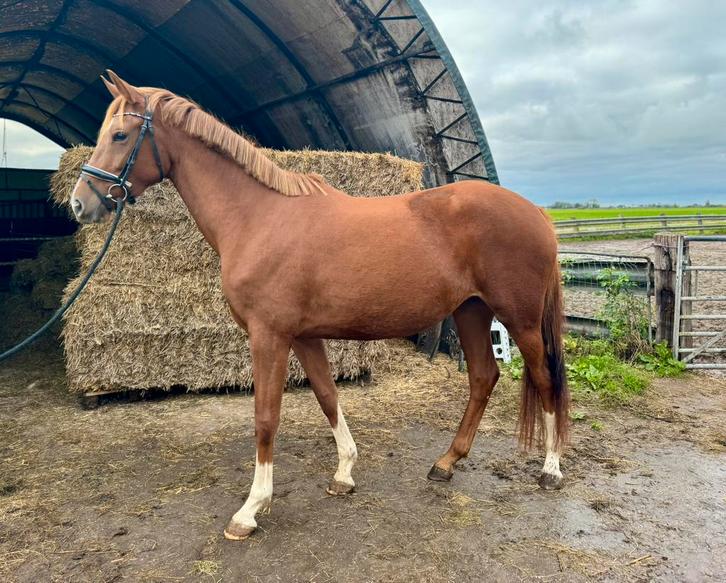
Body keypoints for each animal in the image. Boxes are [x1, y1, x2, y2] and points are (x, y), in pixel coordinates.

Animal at [69, 70, 570, 541]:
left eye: (120, 135)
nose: (79, 203)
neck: (259, 216)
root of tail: (538, 213)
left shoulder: (268, 335)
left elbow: (266, 418)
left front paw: (250, 510)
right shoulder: (304, 337)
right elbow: (328, 397)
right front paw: (344, 473)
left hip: (520, 319)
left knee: (544, 378)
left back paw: (550, 469)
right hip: (470, 311)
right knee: (483, 377)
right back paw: (446, 463)